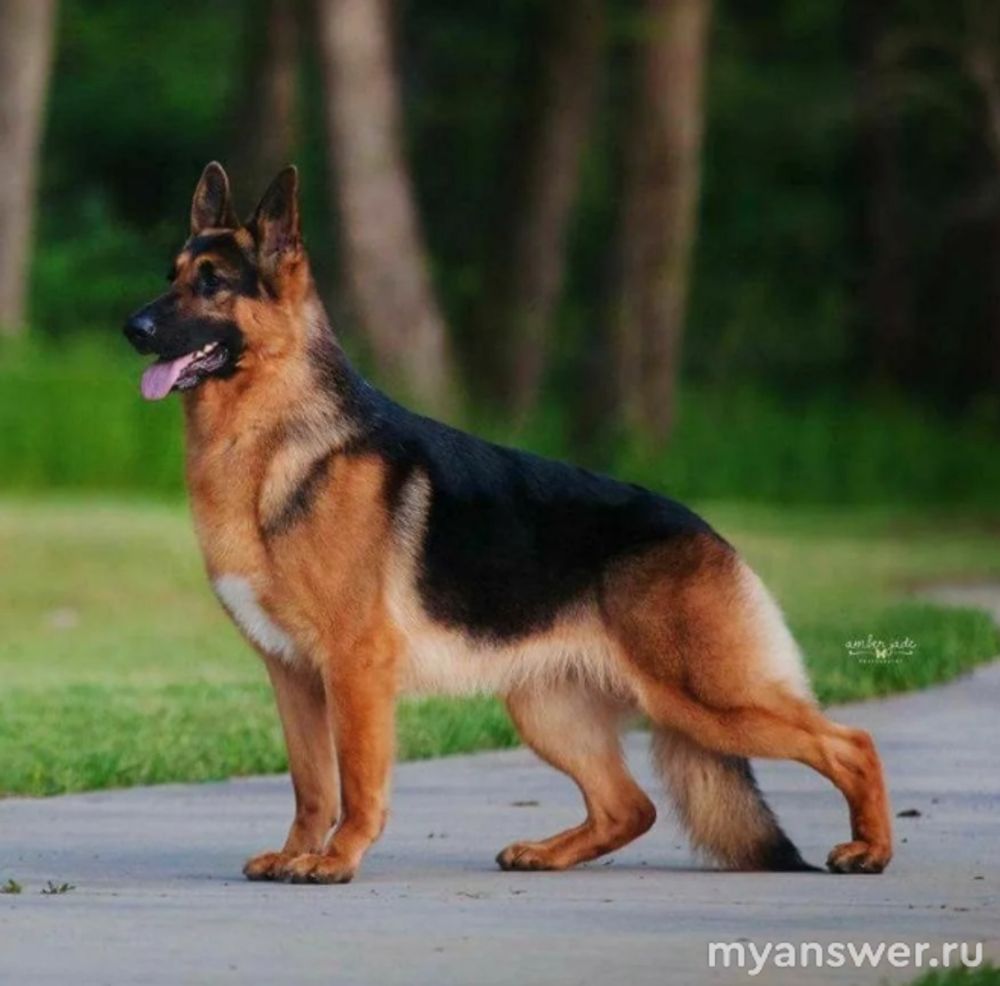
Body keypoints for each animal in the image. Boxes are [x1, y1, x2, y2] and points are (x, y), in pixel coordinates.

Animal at [123, 163, 892, 883]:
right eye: (171, 277)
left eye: (214, 284)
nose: (133, 329)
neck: (272, 436)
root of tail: (707, 533)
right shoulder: (292, 677)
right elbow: (312, 786)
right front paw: (295, 855)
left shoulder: (355, 669)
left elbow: (358, 783)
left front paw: (336, 861)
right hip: (549, 711)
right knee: (630, 806)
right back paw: (546, 853)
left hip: (709, 697)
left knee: (851, 743)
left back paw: (870, 850)